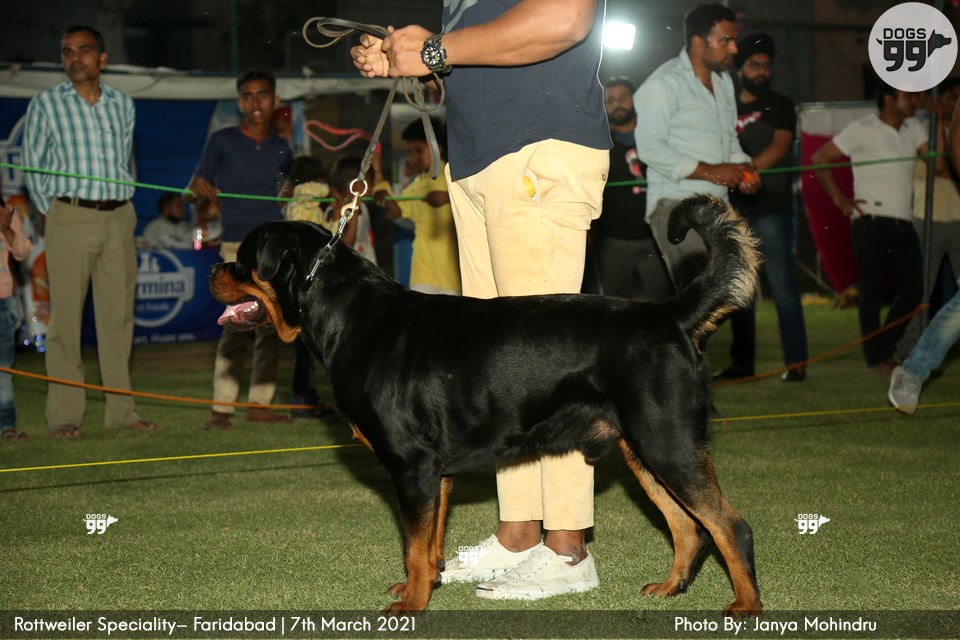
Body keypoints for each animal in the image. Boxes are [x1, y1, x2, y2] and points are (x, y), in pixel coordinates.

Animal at [209, 194, 763, 615]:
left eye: (243, 260)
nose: (214, 266)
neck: (346, 317)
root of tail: (669, 315)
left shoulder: (410, 466)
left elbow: (413, 546)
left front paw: (410, 605)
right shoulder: (435, 473)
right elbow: (428, 544)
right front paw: (425, 586)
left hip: (668, 442)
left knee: (730, 526)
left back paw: (746, 606)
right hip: (643, 448)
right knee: (689, 528)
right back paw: (670, 589)